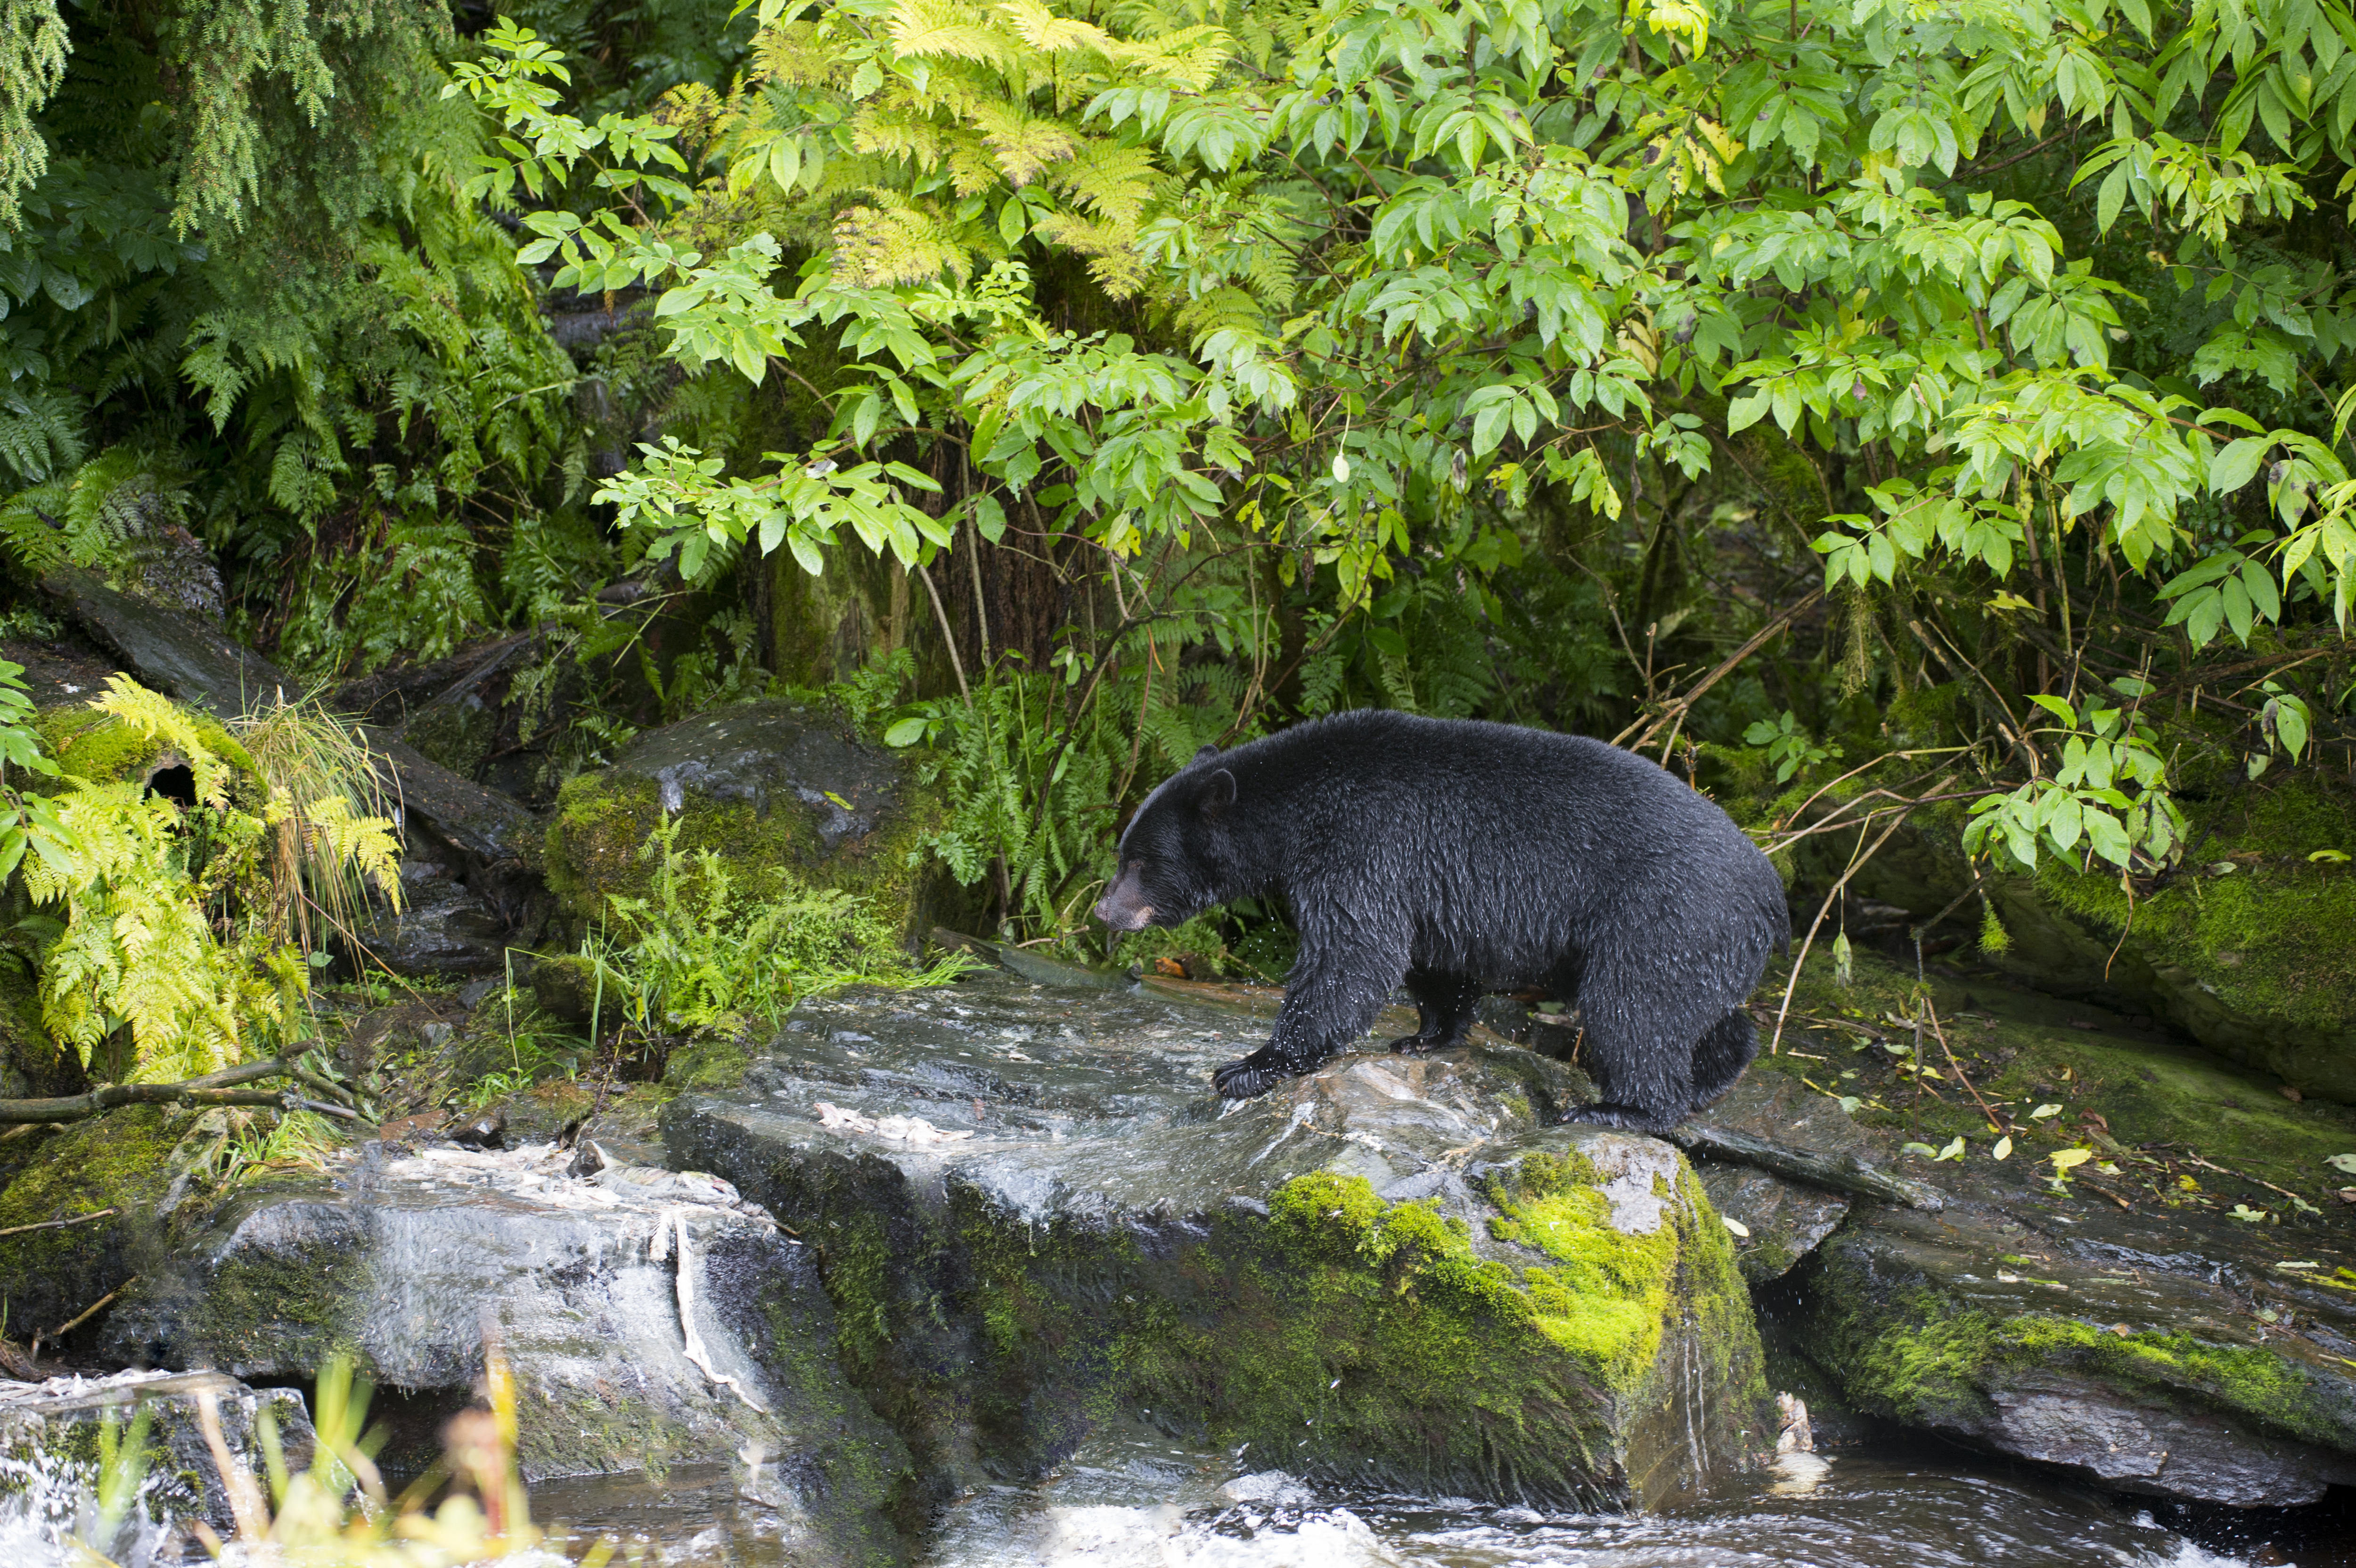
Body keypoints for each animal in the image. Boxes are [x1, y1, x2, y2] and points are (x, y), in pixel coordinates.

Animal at [1090, 709, 1790, 1131]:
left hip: (1665, 914)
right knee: (1694, 1011)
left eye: (1140, 861)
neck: (1299, 806)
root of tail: (1772, 894)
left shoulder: (1364, 840)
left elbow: (1351, 955)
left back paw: (1620, 1110)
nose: (1103, 908)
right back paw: (1714, 1077)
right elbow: (1431, 959)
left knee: (1634, 1006)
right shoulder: (1422, 878)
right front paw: (1426, 1036)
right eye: (1124, 851)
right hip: (1700, 940)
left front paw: (1249, 1065)